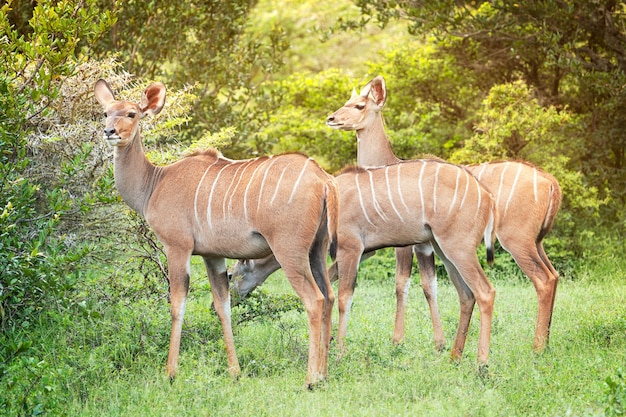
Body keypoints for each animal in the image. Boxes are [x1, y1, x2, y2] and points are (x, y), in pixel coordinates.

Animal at [94, 79, 336, 386]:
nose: (110, 132)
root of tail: (323, 179)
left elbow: (177, 304)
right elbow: (223, 306)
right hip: (316, 250)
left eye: (131, 114)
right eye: (105, 113)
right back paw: (324, 374)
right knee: (329, 296)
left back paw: (310, 379)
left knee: (314, 300)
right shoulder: (213, 256)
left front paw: (170, 373)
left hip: (289, 251)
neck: (154, 183)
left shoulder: (178, 247)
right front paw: (235, 372)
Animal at [326, 75, 560, 352]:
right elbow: (430, 285)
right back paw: (546, 341)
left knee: (542, 280)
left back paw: (537, 347)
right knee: (554, 275)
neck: (387, 162)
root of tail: (549, 182)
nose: (331, 118)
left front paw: (399, 340)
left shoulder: (407, 246)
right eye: (346, 101)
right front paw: (439, 343)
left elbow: (404, 285)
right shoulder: (417, 245)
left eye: (360, 105)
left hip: (515, 240)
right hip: (536, 242)